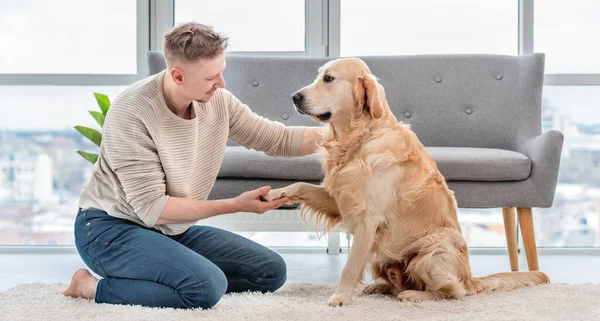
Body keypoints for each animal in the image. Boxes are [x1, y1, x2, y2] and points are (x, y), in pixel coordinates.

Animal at [264, 57, 552, 304]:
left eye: (328, 78)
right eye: (318, 76)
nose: (295, 97)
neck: (358, 138)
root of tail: (471, 278)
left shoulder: (368, 219)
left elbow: (350, 266)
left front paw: (340, 298)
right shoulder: (341, 199)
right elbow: (300, 186)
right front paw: (273, 194)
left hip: (429, 251)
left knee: (450, 291)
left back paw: (412, 295)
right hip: (383, 255)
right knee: (401, 282)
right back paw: (379, 286)